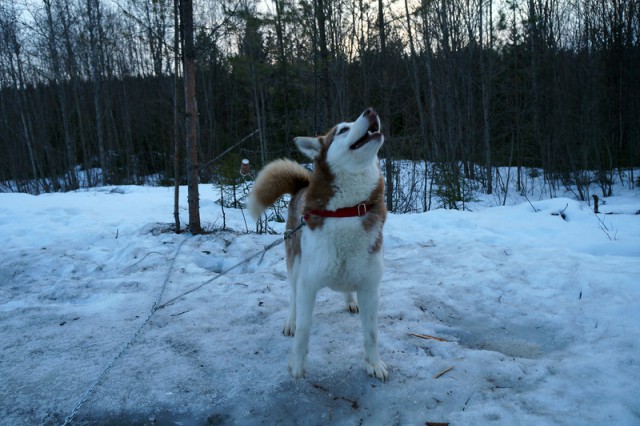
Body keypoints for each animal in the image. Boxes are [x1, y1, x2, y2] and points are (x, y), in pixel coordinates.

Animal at [249, 108, 390, 382]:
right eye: (343, 129)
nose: (370, 111)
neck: (348, 211)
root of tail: (302, 185)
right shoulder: (308, 283)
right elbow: (305, 329)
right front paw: (297, 364)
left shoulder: (371, 287)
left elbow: (372, 334)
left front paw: (374, 363)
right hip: (295, 264)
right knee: (292, 298)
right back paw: (290, 322)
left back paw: (350, 300)